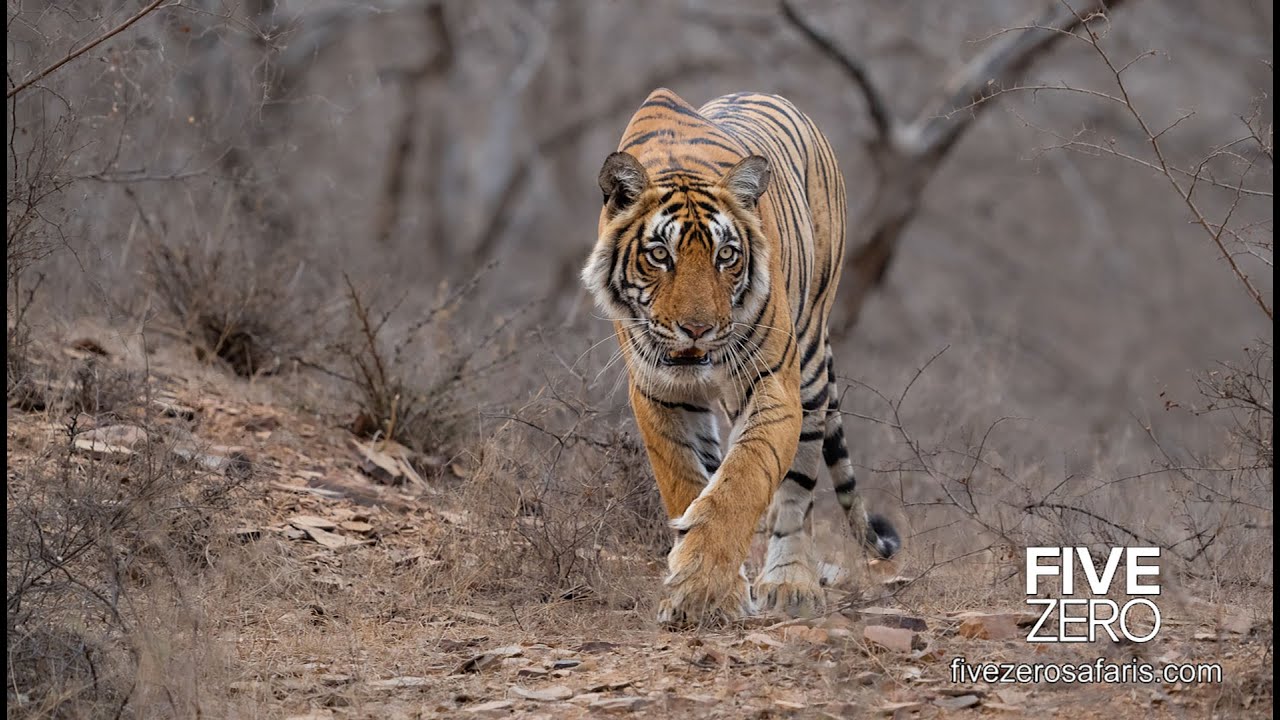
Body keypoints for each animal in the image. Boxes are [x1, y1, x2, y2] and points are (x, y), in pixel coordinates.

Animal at [581, 88, 901, 626]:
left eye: (725, 256)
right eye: (660, 255)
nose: (697, 329)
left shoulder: (775, 383)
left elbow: (743, 480)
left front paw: (701, 584)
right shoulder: (657, 393)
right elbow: (688, 482)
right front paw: (711, 589)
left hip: (810, 367)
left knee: (797, 491)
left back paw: (791, 584)